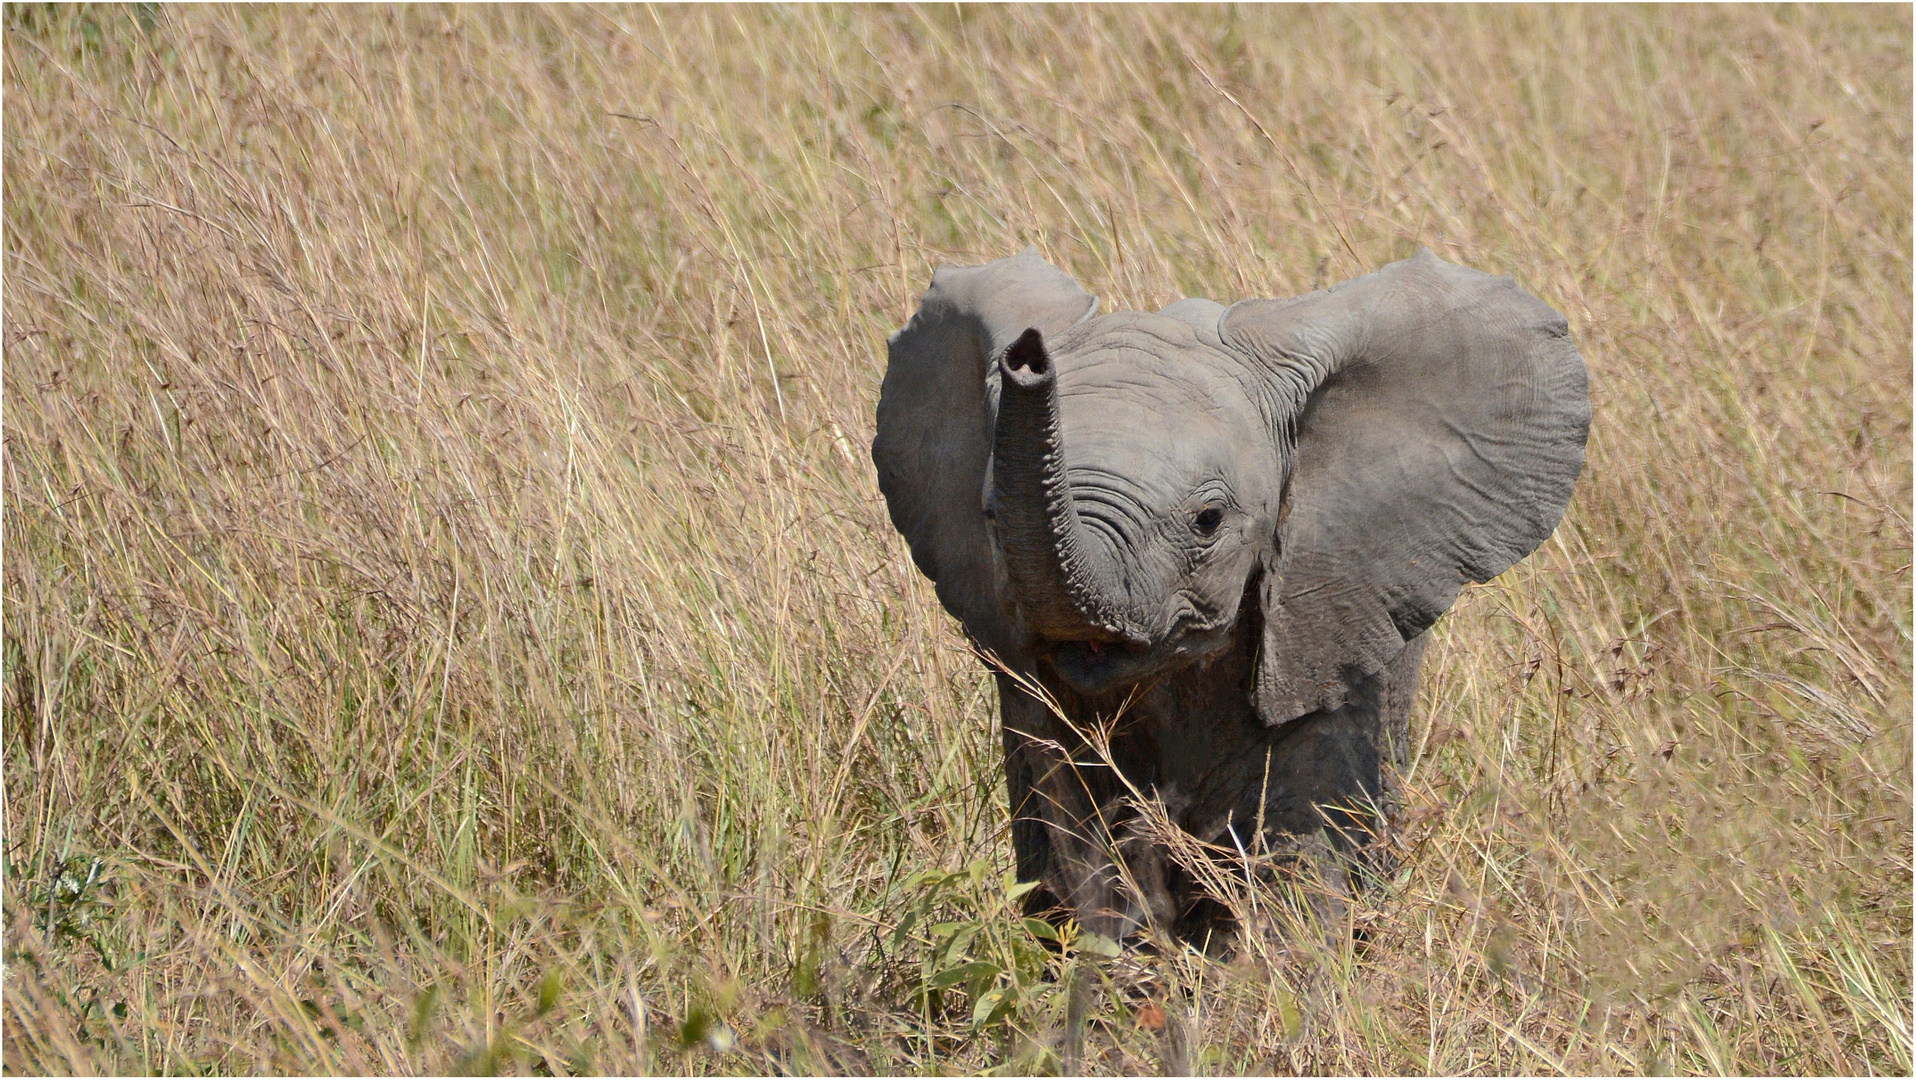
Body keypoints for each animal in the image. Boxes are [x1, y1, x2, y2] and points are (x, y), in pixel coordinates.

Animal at [873, 247, 1586, 945]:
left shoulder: (1323, 615)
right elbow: (1078, 847)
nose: (1026, 356)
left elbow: (1299, 861)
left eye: (1208, 520)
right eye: (990, 516)